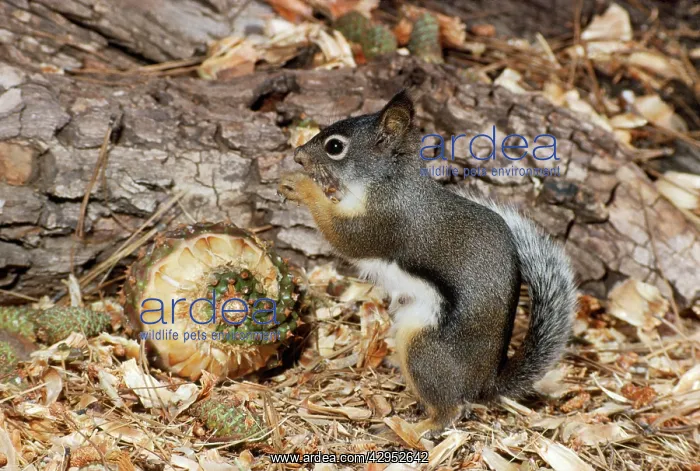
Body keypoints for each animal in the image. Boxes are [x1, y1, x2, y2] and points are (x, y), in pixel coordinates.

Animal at [278, 90, 577, 436]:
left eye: (335, 147)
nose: (298, 156)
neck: (389, 180)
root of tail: (483, 386)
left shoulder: (387, 221)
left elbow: (346, 238)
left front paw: (300, 186)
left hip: (423, 348)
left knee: (451, 409)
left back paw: (416, 428)